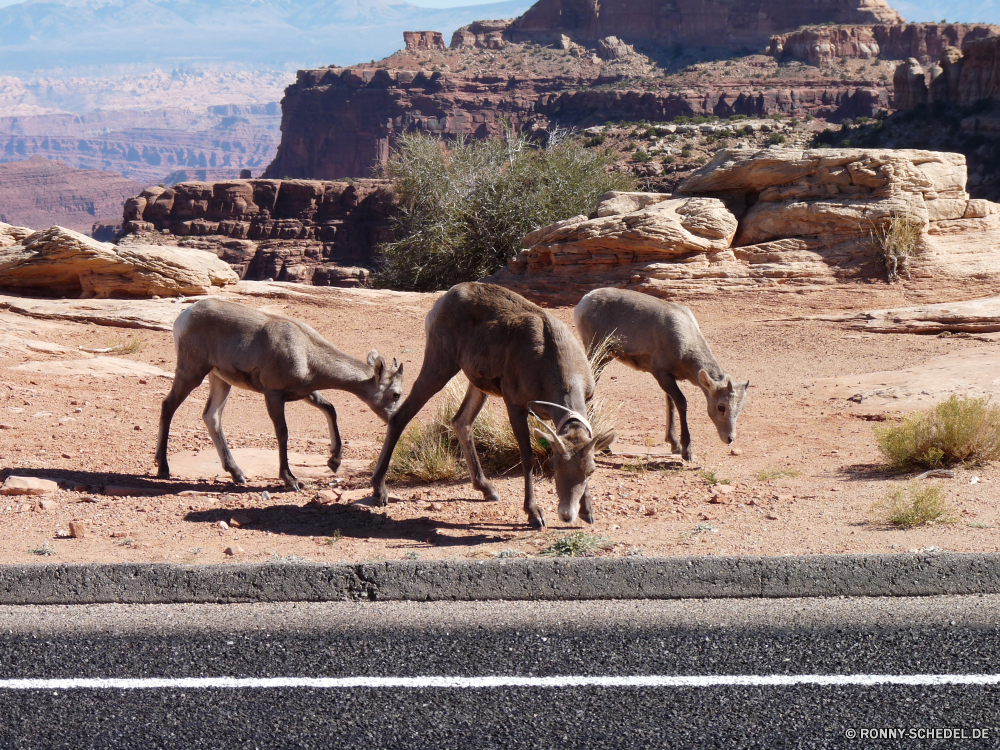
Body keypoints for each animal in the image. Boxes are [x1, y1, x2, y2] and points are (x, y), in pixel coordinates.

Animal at [155, 300, 402, 494]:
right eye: (396, 394)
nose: (395, 419)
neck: (306, 352)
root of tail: (184, 317)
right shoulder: (273, 394)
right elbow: (282, 433)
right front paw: (290, 480)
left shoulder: (305, 393)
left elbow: (330, 408)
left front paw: (334, 462)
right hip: (191, 372)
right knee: (168, 406)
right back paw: (163, 468)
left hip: (220, 380)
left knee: (212, 416)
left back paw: (237, 474)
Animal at [372, 282, 612, 528]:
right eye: (554, 465)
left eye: (590, 471)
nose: (566, 514)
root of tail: (444, 299)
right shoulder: (516, 406)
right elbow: (527, 457)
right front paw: (534, 514)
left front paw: (587, 512)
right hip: (440, 364)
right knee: (400, 417)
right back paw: (380, 493)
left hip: (478, 386)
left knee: (461, 422)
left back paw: (487, 489)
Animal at [576, 290, 748, 462]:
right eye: (721, 407)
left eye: (739, 409)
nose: (729, 439)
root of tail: (584, 302)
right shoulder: (661, 374)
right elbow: (681, 403)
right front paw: (686, 452)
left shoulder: (669, 377)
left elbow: (669, 403)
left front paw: (674, 445)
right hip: (596, 352)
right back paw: (605, 447)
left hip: (606, 357)